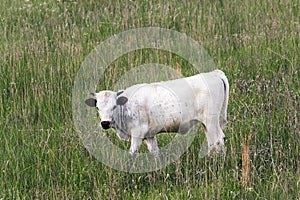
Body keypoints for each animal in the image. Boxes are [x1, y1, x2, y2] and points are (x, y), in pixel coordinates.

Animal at [85, 69, 229, 155]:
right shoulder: (149, 136)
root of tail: (214, 73)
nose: (105, 123)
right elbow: (155, 153)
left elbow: (132, 154)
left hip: (211, 121)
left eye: (114, 106)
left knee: (217, 140)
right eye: (97, 107)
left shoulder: (137, 134)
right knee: (215, 141)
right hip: (208, 123)